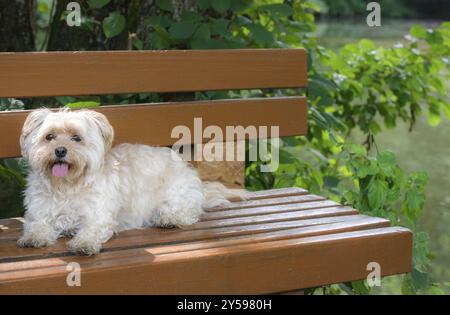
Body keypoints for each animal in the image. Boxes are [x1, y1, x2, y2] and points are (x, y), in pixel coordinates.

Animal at [17, 108, 244, 256]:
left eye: (76, 138)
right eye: (49, 137)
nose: (60, 150)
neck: (67, 185)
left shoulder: (99, 217)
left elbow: (92, 230)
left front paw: (84, 243)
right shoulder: (39, 214)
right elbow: (37, 226)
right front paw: (33, 238)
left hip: (177, 195)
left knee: (188, 213)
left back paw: (169, 219)